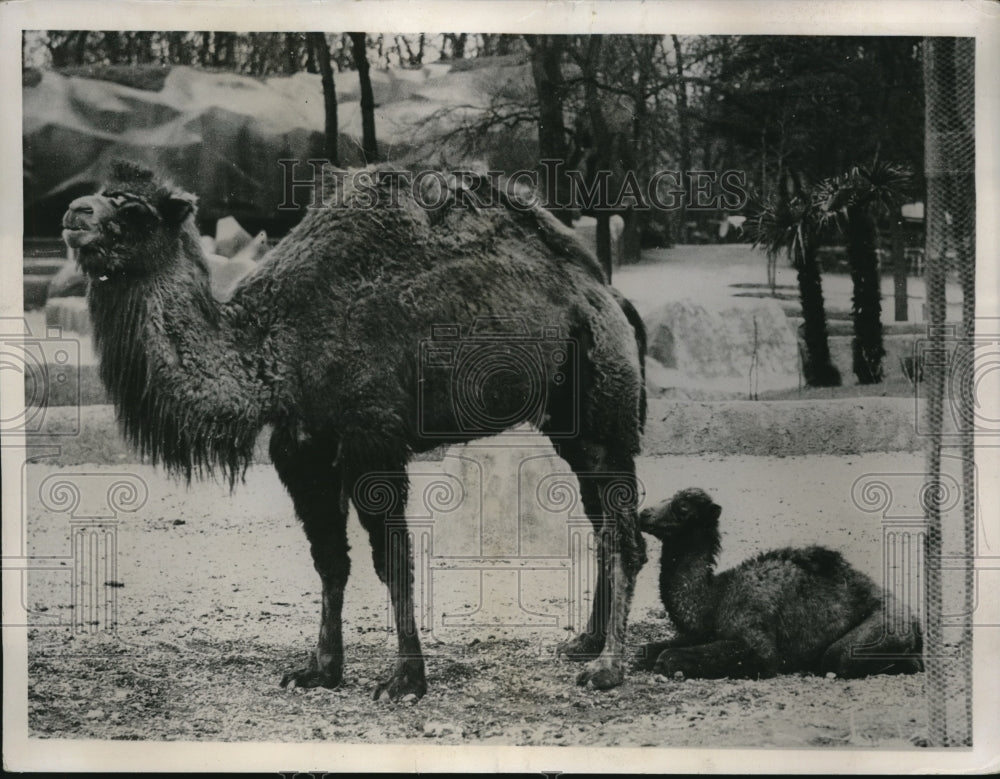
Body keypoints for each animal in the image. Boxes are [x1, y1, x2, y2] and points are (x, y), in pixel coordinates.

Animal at [62, 161, 648, 701]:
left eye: (134, 209)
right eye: (99, 193)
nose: (73, 214)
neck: (275, 348)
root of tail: (609, 298)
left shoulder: (373, 439)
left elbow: (392, 561)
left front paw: (405, 679)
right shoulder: (301, 448)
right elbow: (329, 563)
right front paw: (319, 669)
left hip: (604, 406)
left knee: (625, 534)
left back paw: (607, 668)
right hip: (567, 425)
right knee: (600, 522)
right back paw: (584, 642)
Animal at [638, 488, 923, 679]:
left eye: (682, 509)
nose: (644, 514)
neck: (716, 597)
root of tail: (915, 622)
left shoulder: (755, 637)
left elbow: (668, 656)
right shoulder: (701, 633)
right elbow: (647, 649)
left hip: (876, 632)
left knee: (837, 658)